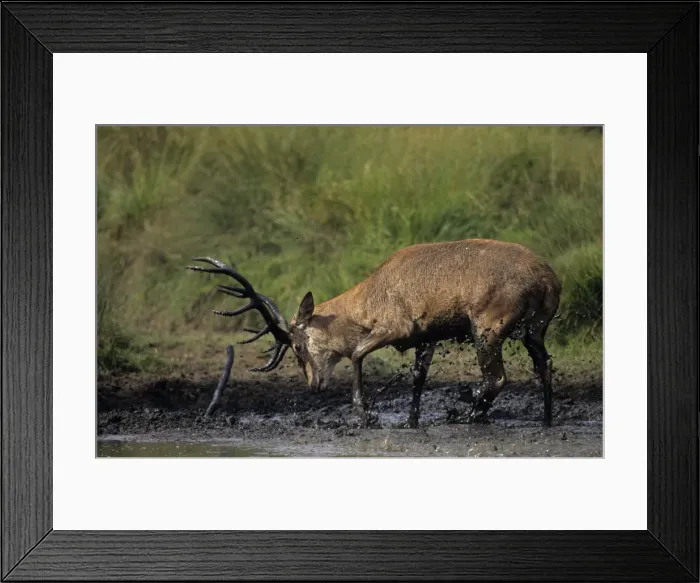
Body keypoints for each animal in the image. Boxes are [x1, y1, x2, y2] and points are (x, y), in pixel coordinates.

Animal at [187, 238, 562, 429]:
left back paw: (465, 413)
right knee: (544, 365)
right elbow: (418, 377)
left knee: (497, 377)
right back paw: (546, 420)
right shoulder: (427, 337)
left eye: (296, 345)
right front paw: (410, 421)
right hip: (535, 329)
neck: (367, 298)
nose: (313, 385)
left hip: (486, 327)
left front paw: (365, 414)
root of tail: (547, 279)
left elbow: (355, 352)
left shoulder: (396, 328)